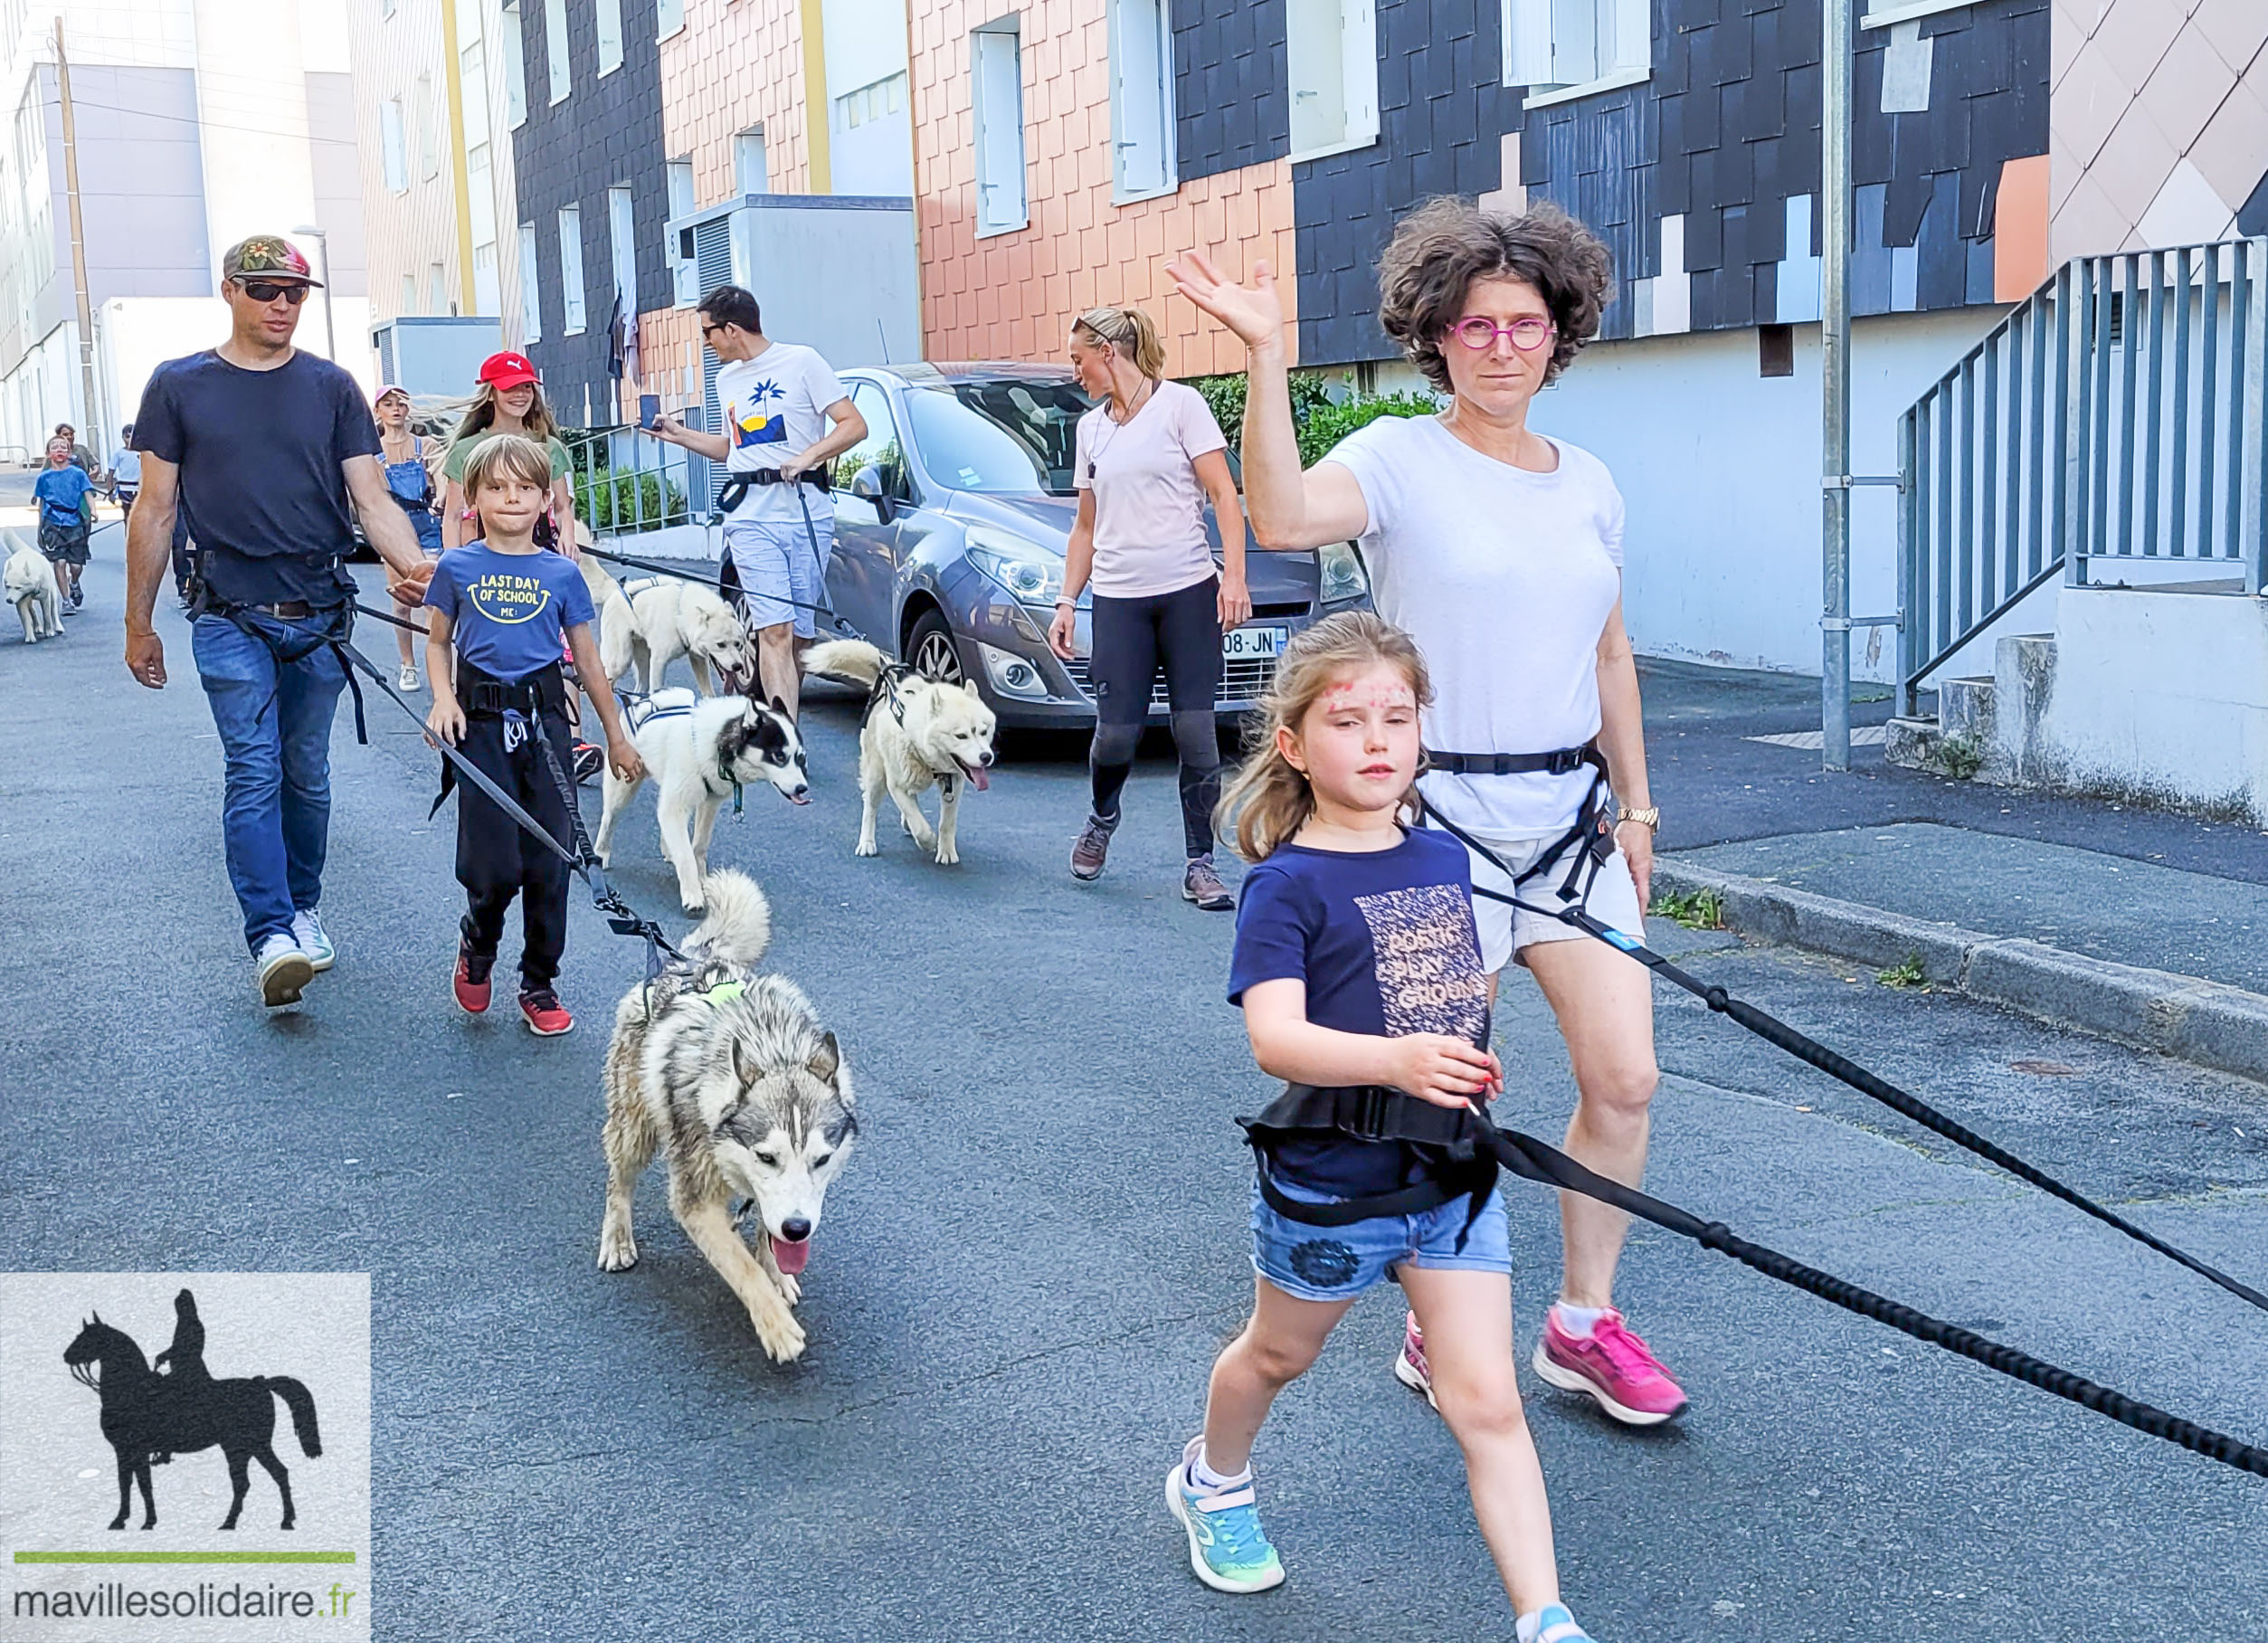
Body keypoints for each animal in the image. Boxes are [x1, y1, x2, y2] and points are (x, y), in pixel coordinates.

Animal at [580, 551, 757, 694]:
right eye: (720, 645)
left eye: (738, 644)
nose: (738, 667)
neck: (679, 614)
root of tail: (617, 590)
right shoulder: (659, 663)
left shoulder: (697, 659)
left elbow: (709, 694)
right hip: (620, 662)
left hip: (643, 659)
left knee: (639, 691)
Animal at [598, 680, 811, 912]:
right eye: (779, 756)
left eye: (801, 758)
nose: (802, 789)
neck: (716, 744)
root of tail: (640, 701)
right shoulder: (676, 805)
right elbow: (686, 855)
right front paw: (693, 893)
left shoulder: (709, 803)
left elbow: (699, 846)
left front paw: (702, 881)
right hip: (623, 787)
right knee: (610, 817)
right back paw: (601, 853)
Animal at [598, 871, 852, 1361]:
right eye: (767, 1157)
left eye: (822, 1160)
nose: (798, 1229)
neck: (772, 1048)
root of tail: (689, 960)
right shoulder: (694, 1202)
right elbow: (740, 1266)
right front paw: (776, 1325)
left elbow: (765, 1237)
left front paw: (777, 1274)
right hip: (634, 1128)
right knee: (619, 1180)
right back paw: (617, 1236)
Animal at [807, 635, 1002, 867]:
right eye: (961, 736)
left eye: (984, 731)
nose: (986, 757)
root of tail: (889, 687)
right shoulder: (896, 784)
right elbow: (918, 822)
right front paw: (928, 841)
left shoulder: (953, 784)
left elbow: (947, 822)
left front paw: (946, 850)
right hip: (876, 774)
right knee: (870, 807)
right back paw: (867, 842)